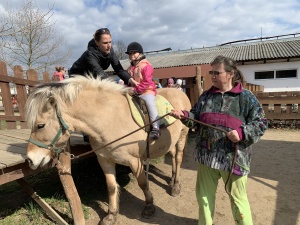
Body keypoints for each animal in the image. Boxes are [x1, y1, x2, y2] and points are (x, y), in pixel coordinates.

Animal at [25, 76, 190, 225]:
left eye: (40, 125)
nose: (30, 159)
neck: (110, 119)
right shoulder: (105, 160)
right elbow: (111, 187)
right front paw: (111, 215)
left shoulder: (134, 161)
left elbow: (142, 183)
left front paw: (149, 206)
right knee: (173, 157)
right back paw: (172, 179)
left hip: (182, 136)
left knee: (178, 158)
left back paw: (176, 185)